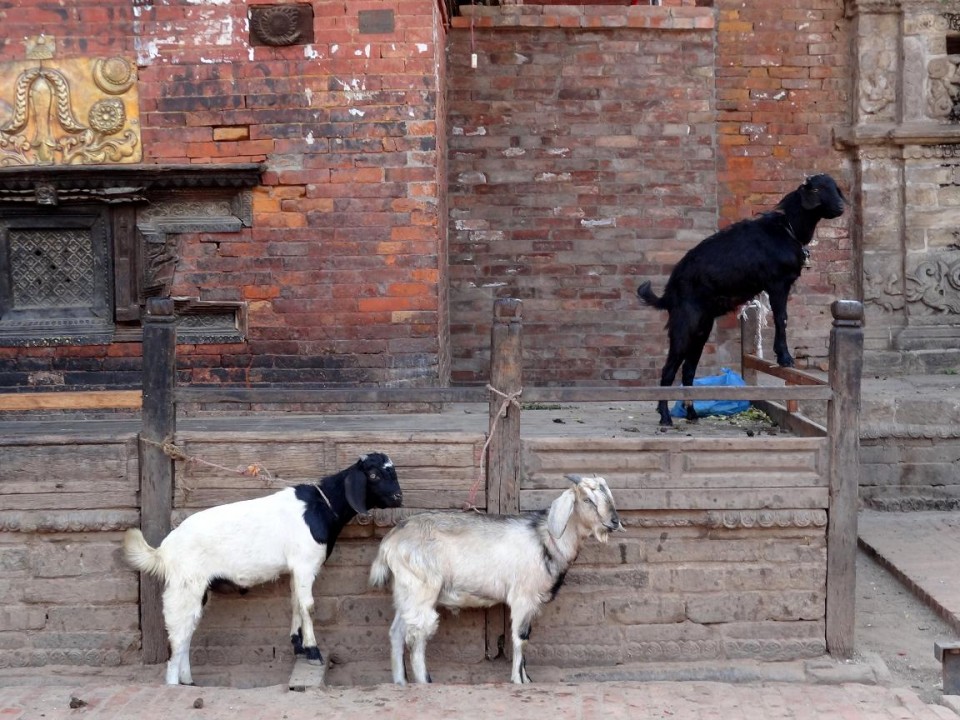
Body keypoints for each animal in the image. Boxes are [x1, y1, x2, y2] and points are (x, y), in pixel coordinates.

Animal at [123, 452, 402, 684]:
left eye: (393, 471)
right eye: (374, 474)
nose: (399, 497)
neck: (319, 507)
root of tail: (164, 549)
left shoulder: (295, 568)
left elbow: (295, 602)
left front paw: (298, 645)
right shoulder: (305, 564)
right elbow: (308, 605)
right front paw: (313, 651)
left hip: (196, 591)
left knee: (187, 632)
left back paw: (188, 681)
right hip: (184, 587)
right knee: (178, 635)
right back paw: (174, 684)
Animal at [368, 476, 624, 684]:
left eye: (608, 496)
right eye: (587, 499)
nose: (613, 522)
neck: (546, 538)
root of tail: (391, 540)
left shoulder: (532, 602)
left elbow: (526, 636)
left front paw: (526, 678)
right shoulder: (522, 597)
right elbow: (520, 639)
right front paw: (518, 680)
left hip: (405, 591)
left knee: (397, 632)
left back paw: (401, 682)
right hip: (421, 589)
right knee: (417, 634)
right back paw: (424, 682)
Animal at [636, 174, 848, 424]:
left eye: (835, 188)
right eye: (816, 189)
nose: (841, 207)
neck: (786, 229)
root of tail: (669, 292)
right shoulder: (778, 283)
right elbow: (782, 318)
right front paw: (785, 357)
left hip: (702, 329)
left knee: (688, 369)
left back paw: (692, 413)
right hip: (684, 325)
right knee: (668, 369)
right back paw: (665, 417)